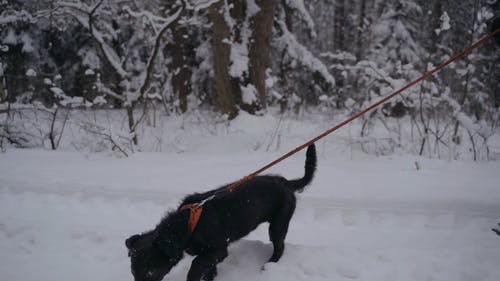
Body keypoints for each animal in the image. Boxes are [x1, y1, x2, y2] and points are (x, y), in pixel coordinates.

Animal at [125, 143, 316, 278]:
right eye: (133, 272)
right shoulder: (212, 255)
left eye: (150, 271)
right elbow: (208, 268)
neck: (188, 225)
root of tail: (287, 183)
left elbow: (196, 265)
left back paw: (268, 266)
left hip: (278, 223)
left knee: (279, 247)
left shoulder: (218, 250)